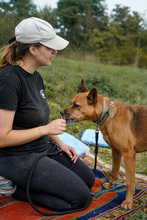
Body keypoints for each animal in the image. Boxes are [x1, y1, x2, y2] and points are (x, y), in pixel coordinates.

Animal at [60, 78, 147, 210]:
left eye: (76, 105)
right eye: (71, 103)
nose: (61, 112)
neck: (108, 114)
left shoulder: (128, 154)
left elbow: (129, 182)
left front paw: (128, 202)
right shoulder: (116, 151)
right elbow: (115, 171)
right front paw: (111, 185)